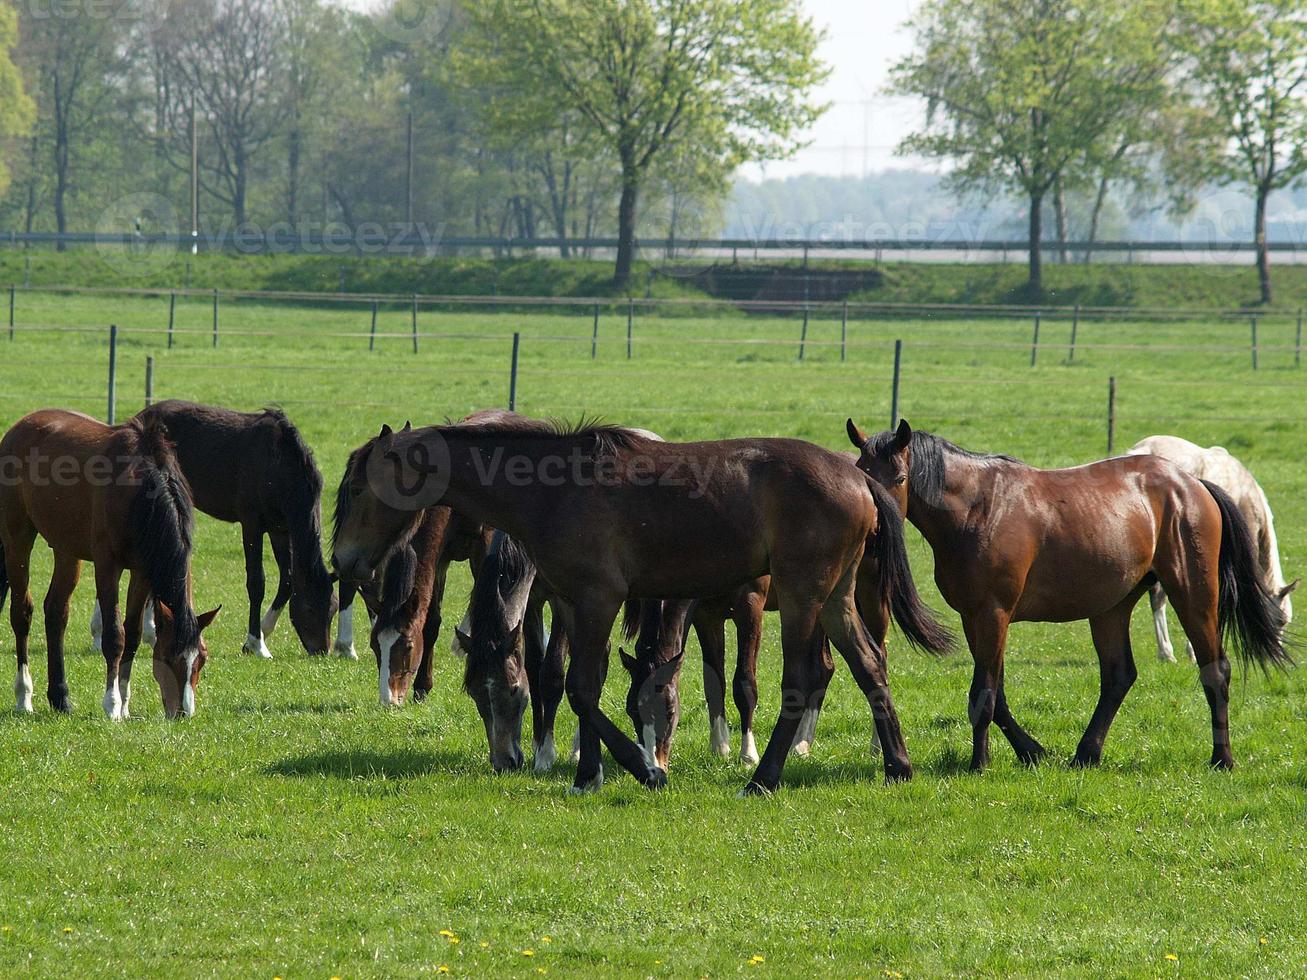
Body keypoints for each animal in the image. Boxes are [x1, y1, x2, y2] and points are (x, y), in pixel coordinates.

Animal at [0, 407, 219, 721]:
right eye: (168, 657)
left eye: (202, 658)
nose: (183, 713)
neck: (139, 492)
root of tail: (19, 427)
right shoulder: (107, 567)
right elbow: (115, 635)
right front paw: (112, 704)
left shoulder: (141, 571)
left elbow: (134, 634)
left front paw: (125, 703)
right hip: (17, 537)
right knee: (21, 614)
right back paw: (24, 696)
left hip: (66, 549)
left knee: (56, 612)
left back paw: (60, 697)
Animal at [94, 399, 334, 661]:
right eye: (310, 607)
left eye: (333, 608)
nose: (322, 651)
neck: (278, 464)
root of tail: (143, 415)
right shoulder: (252, 526)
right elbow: (256, 583)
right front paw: (255, 643)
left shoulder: (280, 530)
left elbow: (287, 581)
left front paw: (265, 630)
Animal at [339, 415, 920, 799]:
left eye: (358, 489)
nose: (343, 560)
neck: (554, 489)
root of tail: (859, 477)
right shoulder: (571, 604)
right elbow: (581, 686)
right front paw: (587, 773)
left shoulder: (599, 600)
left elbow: (580, 689)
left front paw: (644, 769)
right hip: (836, 598)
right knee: (869, 663)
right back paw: (897, 765)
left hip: (803, 595)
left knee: (802, 678)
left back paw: (762, 778)